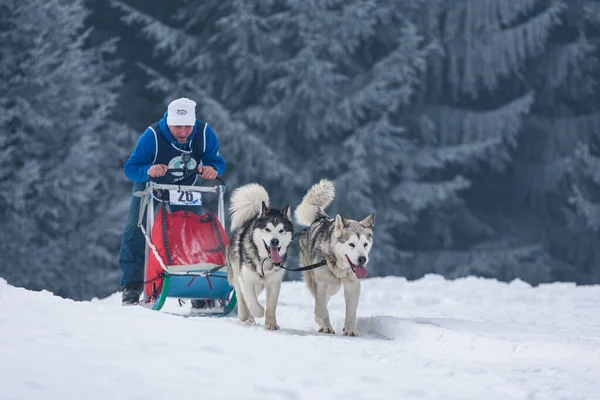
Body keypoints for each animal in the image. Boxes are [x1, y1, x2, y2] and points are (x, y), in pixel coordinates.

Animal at [225, 183, 292, 330]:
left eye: (281, 230)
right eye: (267, 229)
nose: (274, 241)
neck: (264, 261)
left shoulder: (274, 282)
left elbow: (271, 305)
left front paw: (271, 323)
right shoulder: (245, 278)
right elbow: (251, 301)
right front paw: (258, 311)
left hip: (259, 284)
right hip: (236, 272)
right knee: (241, 295)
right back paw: (244, 314)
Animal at [294, 180, 372, 336]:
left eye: (365, 244)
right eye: (351, 244)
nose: (362, 259)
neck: (340, 268)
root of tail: (321, 218)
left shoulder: (353, 285)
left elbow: (351, 311)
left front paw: (350, 329)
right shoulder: (321, 283)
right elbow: (321, 308)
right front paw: (325, 326)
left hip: (332, 287)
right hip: (314, 278)